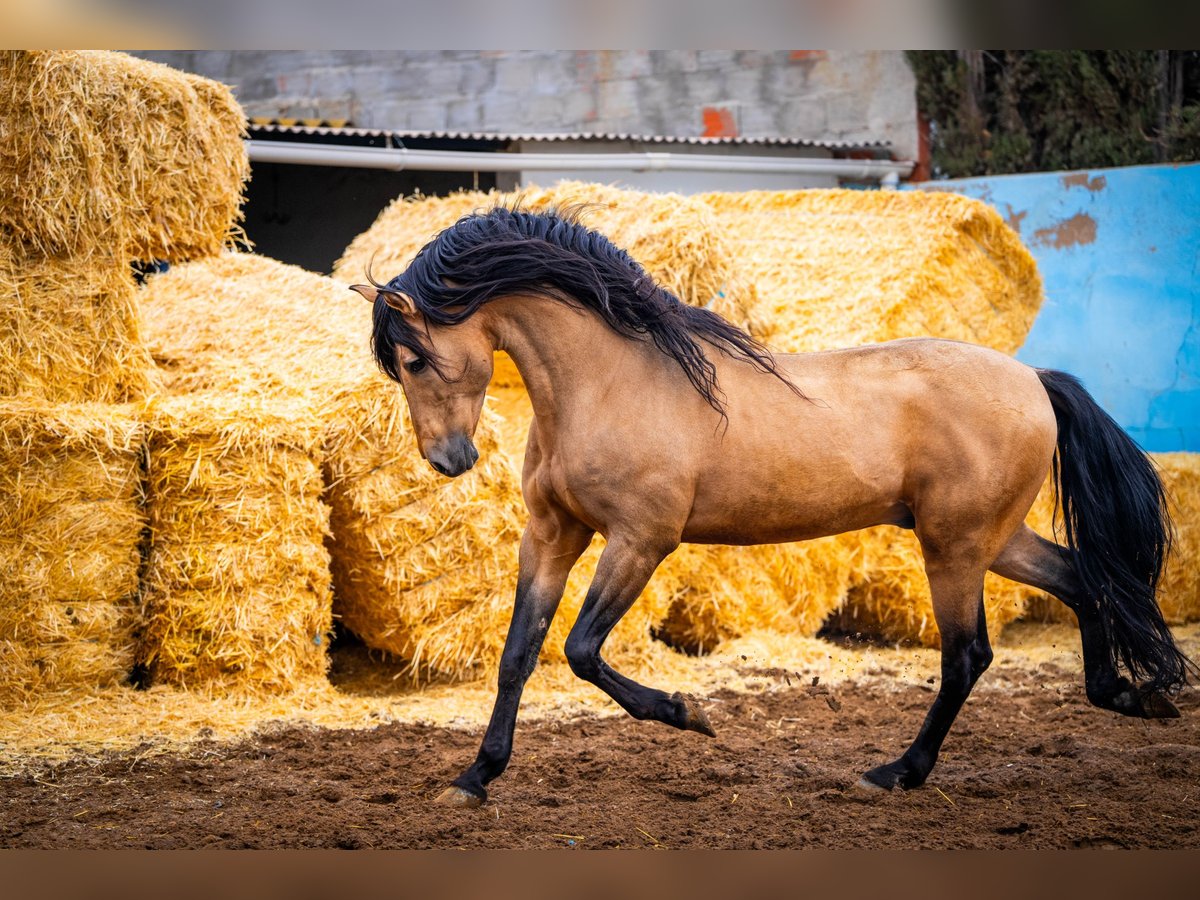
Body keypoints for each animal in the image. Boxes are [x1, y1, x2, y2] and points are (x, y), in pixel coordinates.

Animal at [348, 206, 1190, 811]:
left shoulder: (640, 539)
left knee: (967, 655)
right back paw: (1127, 696)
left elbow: (582, 650)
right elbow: (518, 654)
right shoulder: (553, 534)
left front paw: (689, 712)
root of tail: (1033, 379)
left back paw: (895, 773)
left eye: (414, 357)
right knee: (1083, 582)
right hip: (993, 538)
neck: (610, 380)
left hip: (954, 545)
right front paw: (474, 779)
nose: (449, 461)